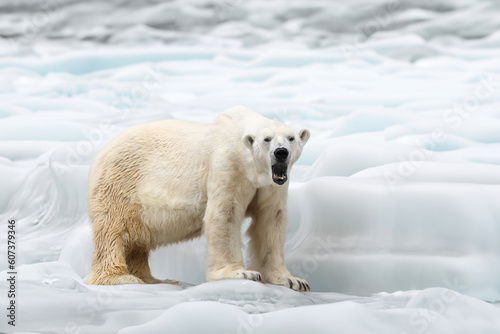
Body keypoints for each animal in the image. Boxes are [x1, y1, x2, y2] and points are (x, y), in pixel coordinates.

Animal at [88, 105, 310, 290]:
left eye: (291, 138)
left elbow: (271, 220)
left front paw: (292, 280)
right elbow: (225, 214)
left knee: (136, 242)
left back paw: (155, 279)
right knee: (113, 231)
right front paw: (241, 273)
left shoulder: (272, 184)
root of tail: (101, 152)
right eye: (267, 139)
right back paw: (119, 277)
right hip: (120, 184)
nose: (281, 153)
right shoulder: (227, 165)